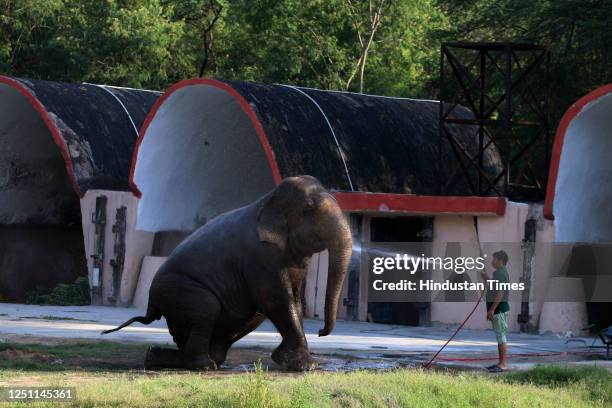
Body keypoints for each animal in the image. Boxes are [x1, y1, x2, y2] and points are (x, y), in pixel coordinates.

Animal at [102, 174, 352, 372]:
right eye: (308, 208)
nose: (321, 331)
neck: (267, 200)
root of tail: (151, 305)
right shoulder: (259, 255)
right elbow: (276, 300)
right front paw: (305, 366)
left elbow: (293, 299)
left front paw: (290, 362)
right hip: (179, 292)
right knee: (207, 308)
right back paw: (204, 365)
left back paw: (155, 357)